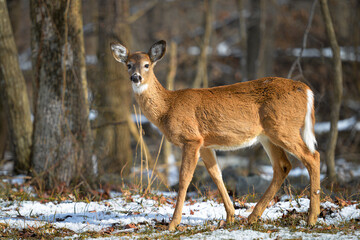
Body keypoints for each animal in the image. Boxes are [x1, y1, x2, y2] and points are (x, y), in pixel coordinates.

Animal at [109, 39, 320, 231]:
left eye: (146, 64)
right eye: (128, 64)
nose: (135, 77)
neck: (168, 107)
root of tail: (307, 90)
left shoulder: (192, 138)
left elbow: (184, 179)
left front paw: (173, 223)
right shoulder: (205, 144)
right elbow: (217, 174)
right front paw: (230, 217)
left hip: (284, 128)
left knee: (312, 157)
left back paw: (311, 219)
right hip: (267, 135)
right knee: (283, 166)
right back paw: (253, 217)